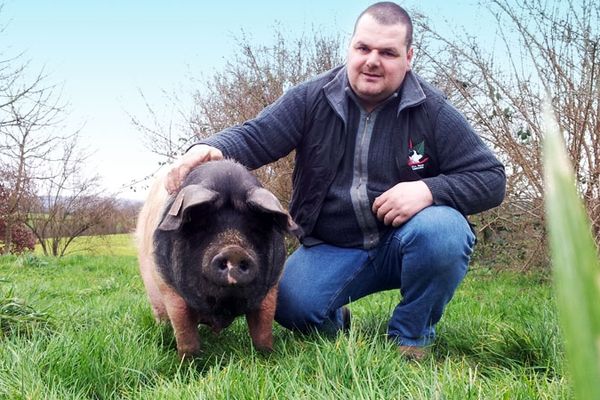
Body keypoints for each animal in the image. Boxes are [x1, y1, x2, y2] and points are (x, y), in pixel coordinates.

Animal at [135, 159, 296, 360]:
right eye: (202, 226)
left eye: (255, 228)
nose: (234, 250)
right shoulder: (170, 290)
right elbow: (186, 334)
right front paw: (188, 362)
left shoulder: (271, 288)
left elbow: (263, 330)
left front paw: (268, 357)